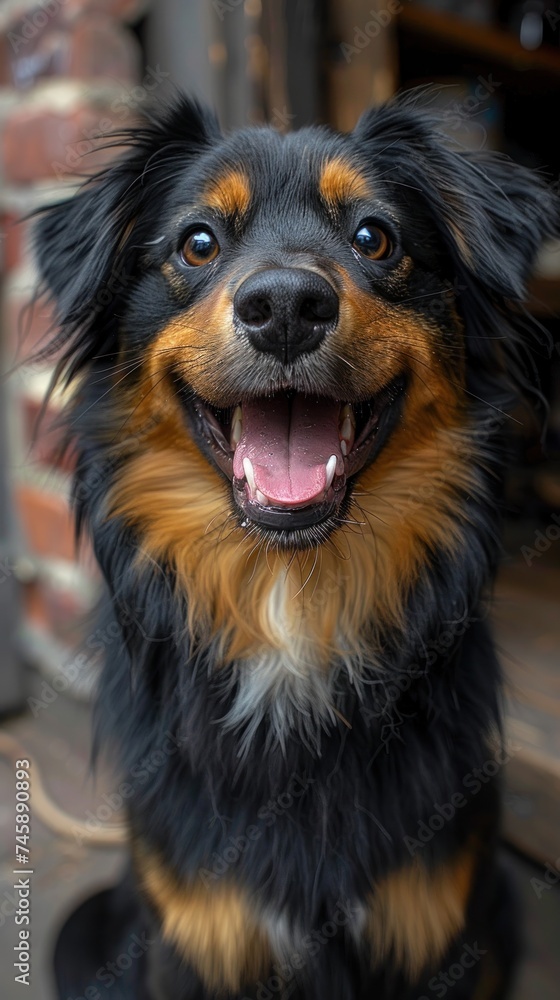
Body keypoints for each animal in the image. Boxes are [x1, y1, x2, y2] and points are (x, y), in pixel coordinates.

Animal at [32, 95, 556, 1000]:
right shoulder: (195, 935)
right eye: (197, 242)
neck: (296, 598)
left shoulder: (436, 929)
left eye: (374, 236)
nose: (284, 306)